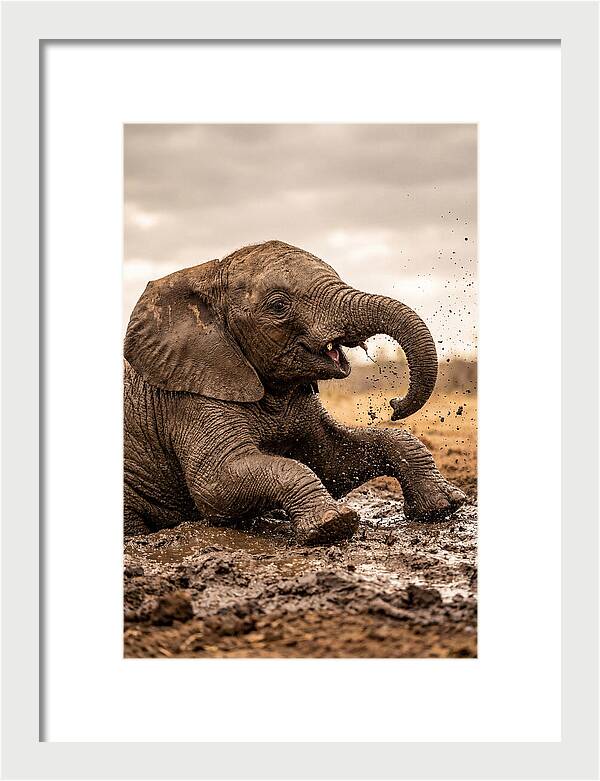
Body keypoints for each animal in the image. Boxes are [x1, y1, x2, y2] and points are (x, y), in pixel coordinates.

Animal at [124, 240, 466, 544]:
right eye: (278, 306)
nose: (394, 404)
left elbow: (333, 460)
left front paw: (444, 506)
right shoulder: (190, 399)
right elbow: (215, 486)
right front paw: (333, 524)